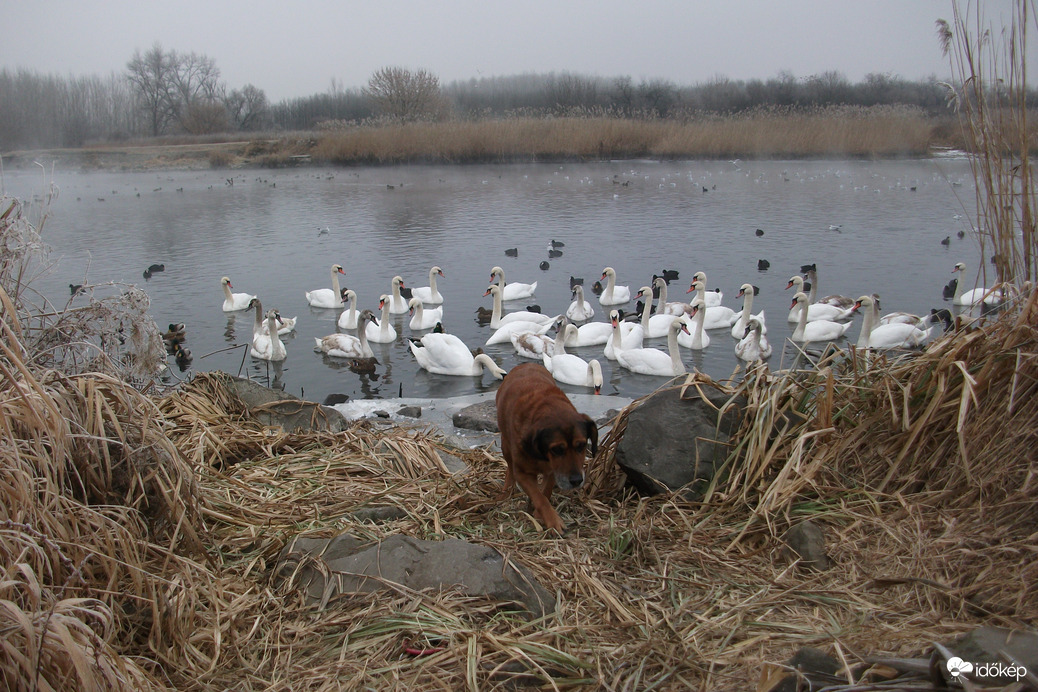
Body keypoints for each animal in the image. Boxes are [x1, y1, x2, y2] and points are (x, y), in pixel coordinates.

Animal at [496, 363, 602, 535]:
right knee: (510, 469)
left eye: (581, 445)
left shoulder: (554, 471)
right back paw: (506, 491)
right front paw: (553, 521)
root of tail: (526, 363)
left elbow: (545, 491)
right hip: (505, 444)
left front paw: (540, 514)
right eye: (557, 449)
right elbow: (539, 497)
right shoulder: (523, 473)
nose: (576, 480)